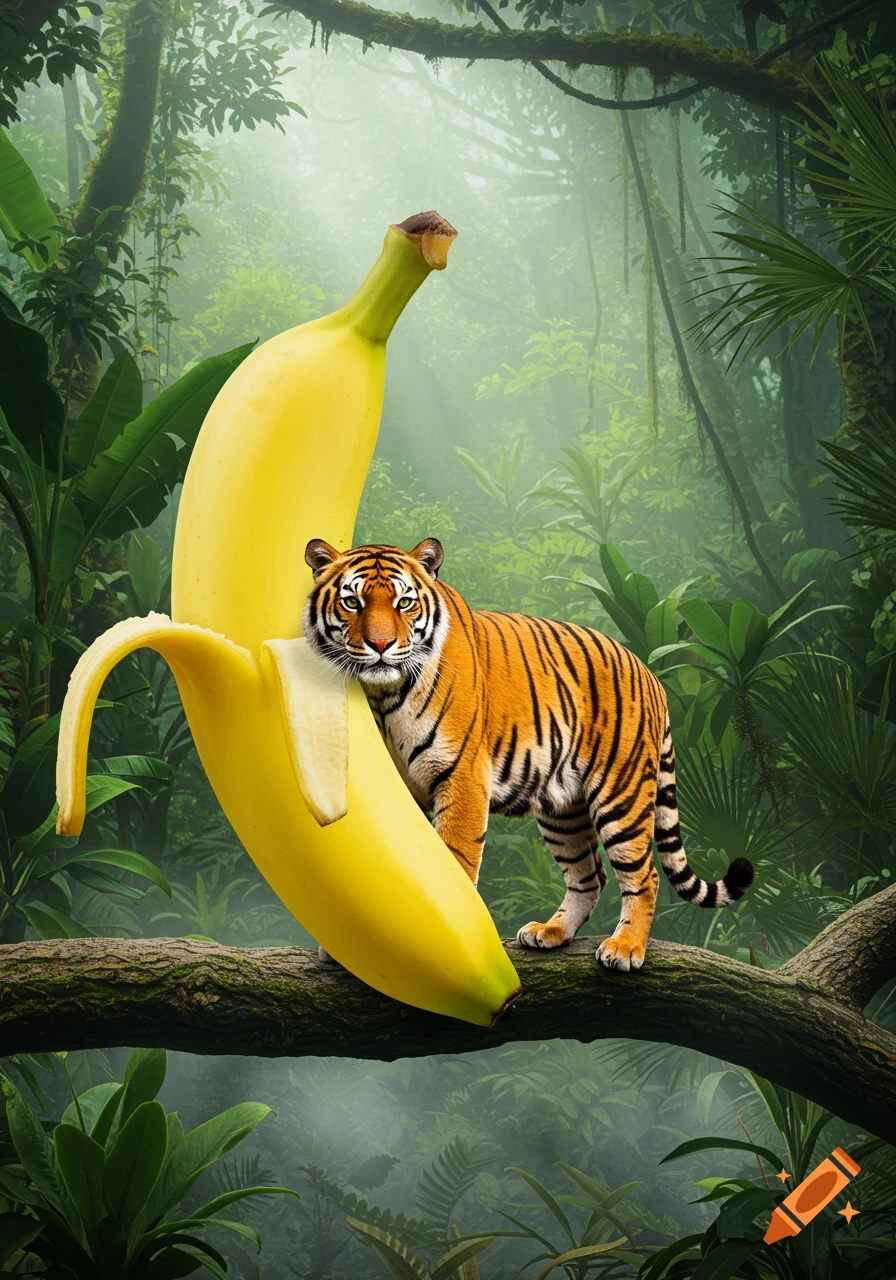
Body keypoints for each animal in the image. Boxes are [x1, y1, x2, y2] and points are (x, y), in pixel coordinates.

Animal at [302, 536, 754, 971]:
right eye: (352, 602)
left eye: (404, 602)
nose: (380, 644)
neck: (380, 694)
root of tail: (649, 671)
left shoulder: (462, 779)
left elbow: (453, 865)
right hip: (563, 811)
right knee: (590, 877)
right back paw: (551, 933)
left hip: (621, 797)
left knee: (644, 877)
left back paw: (625, 948)